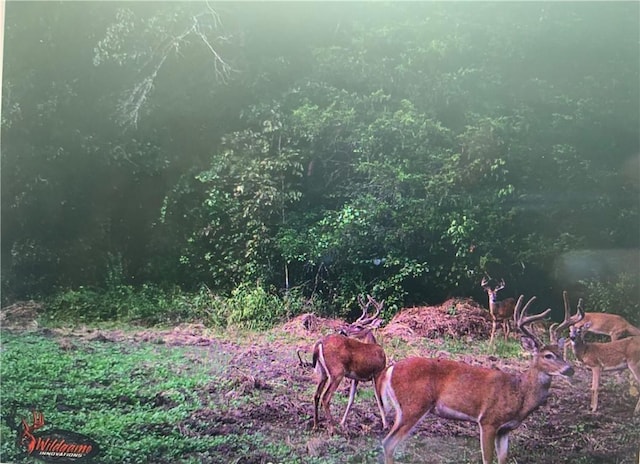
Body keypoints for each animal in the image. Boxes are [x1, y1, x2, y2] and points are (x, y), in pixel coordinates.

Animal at [308, 294, 384, 432]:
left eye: (359, 326)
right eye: (353, 323)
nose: (343, 330)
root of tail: (319, 343)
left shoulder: (356, 377)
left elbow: (351, 399)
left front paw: (343, 423)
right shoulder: (377, 373)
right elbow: (379, 399)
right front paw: (386, 425)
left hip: (322, 372)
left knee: (316, 395)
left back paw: (316, 425)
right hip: (337, 371)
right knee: (325, 397)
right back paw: (332, 428)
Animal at [378, 294, 572, 464]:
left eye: (561, 354)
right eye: (548, 356)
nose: (570, 369)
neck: (519, 393)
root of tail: (390, 369)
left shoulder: (505, 430)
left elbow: (503, 459)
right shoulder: (488, 420)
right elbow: (487, 459)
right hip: (413, 405)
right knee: (388, 443)